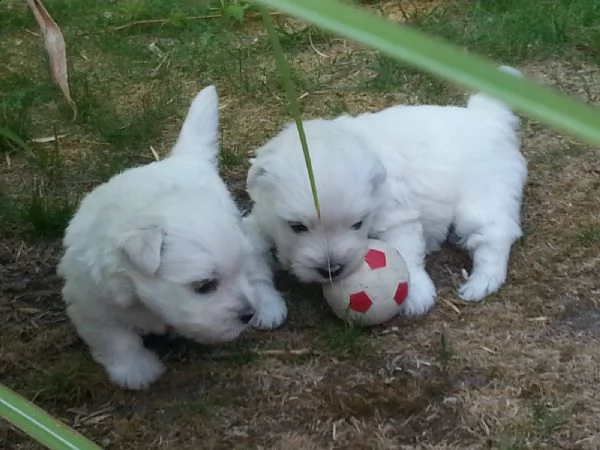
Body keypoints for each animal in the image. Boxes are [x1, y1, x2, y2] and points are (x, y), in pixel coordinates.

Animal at [57, 86, 288, 388]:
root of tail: (183, 159)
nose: (246, 315)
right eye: (204, 286)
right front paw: (137, 371)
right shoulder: (90, 304)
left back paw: (268, 304)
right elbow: (115, 339)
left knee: (258, 271)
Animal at [244, 66, 524, 316]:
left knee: (495, 236)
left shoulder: (396, 218)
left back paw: (481, 283)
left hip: (482, 200)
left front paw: (417, 294)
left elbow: (406, 253)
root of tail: (488, 117)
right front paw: (265, 308)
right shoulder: (260, 223)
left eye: (357, 224)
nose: (332, 270)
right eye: (297, 227)